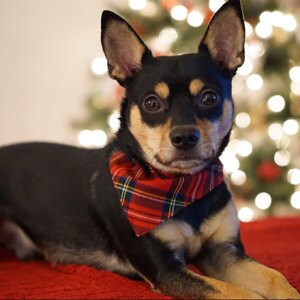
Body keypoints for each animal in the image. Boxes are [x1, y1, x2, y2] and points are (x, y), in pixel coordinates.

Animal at [0, 1, 300, 298]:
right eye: (152, 103)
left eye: (209, 97)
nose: (184, 137)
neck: (183, 187)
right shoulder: (163, 267)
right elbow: (236, 292)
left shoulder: (223, 251)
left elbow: (275, 278)